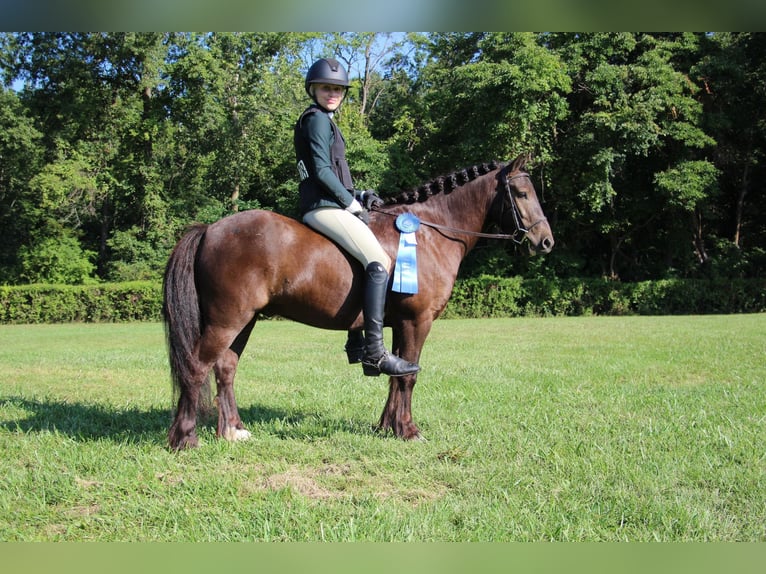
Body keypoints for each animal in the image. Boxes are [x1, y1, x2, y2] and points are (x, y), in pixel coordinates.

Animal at [165, 153, 556, 450]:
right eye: (522, 193)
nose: (546, 241)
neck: (430, 233)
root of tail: (210, 230)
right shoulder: (418, 320)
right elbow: (408, 377)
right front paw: (409, 431)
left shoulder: (398, 324)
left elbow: (396, 373)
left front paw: (388, 426)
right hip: (227, 319)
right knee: (197, 367)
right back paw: (184, 439)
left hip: (244, 320)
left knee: (226, 368)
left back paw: (233, 431)